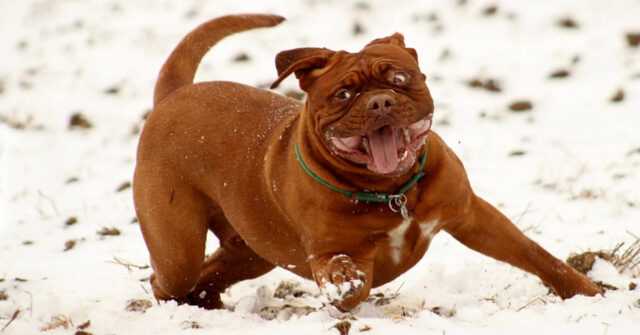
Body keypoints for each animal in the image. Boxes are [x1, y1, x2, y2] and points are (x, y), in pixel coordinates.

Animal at [134, 13, 600, 312]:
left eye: (399, 78)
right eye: (343, 94)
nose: (379, 102)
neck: (393, 191)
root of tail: (174, 95)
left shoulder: (473, 217)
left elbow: (535, 254)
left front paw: (588, 292)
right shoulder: (331, 251)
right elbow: (345, 271)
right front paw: (346, 286)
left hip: (250, 251)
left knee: (213, 271)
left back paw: (206, 304)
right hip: (178, 247)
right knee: (171, 276)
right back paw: (178, 308)